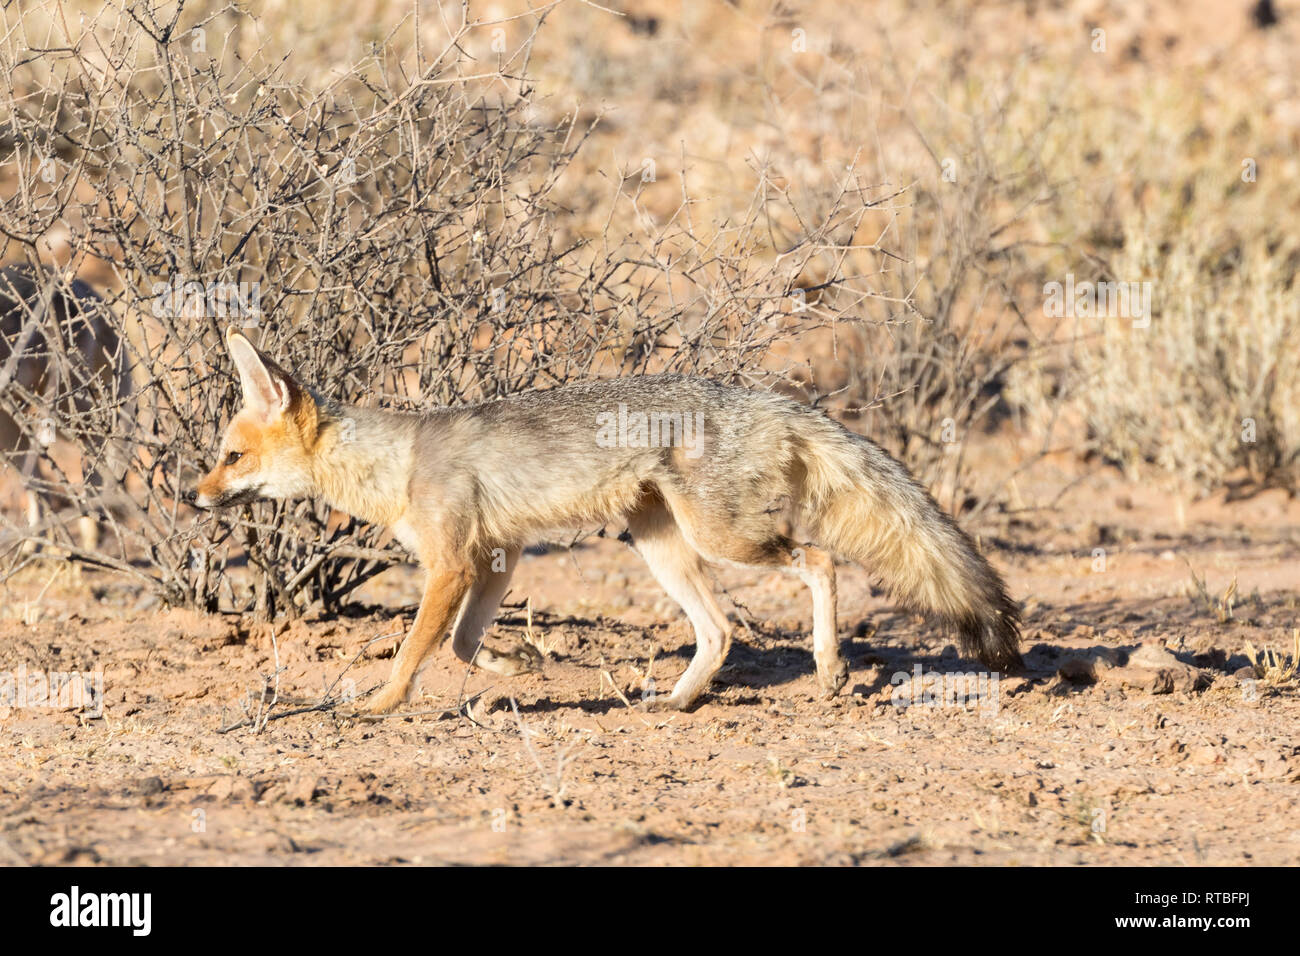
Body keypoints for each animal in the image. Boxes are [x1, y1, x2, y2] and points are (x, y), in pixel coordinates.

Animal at [192, 327, 1022, 714]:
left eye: (230, 456)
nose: (193, 499)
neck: (397, 463)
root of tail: (768, 398)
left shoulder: (453, 564)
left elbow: (412, 653)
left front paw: (378, 707)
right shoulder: (498, 557)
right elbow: (461, 643)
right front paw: (519, 663)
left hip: (724, 538)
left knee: (817, 561)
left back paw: (826, 668)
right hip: (661, 546)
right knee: (721, 632)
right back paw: (678, 702)